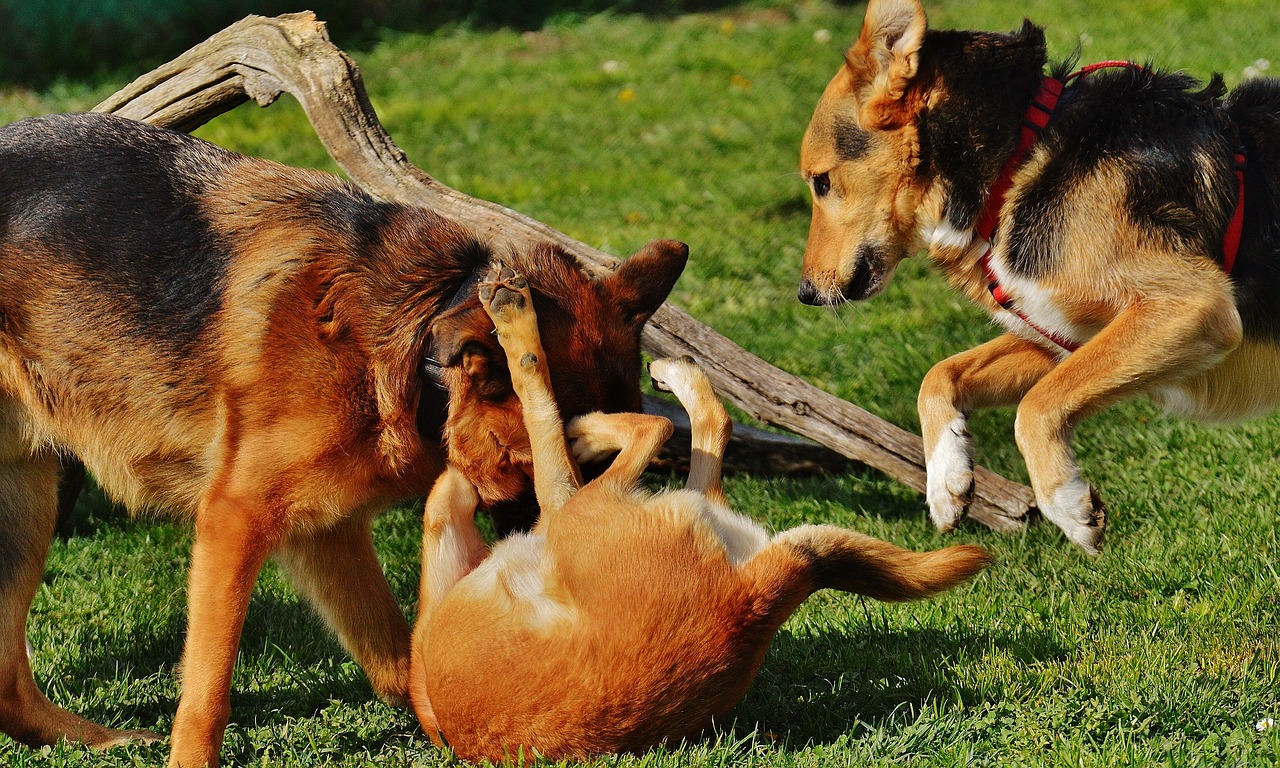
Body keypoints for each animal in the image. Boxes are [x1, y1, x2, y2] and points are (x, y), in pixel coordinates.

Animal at [0, 110, 691, 762]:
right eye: (541, 460)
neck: (412, 342)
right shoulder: (235, 519)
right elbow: (208, 688)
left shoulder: (325, 533)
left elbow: (399, 659)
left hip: (26, 507)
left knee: (9, 686)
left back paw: (94, 740)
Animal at [409, 263, 988, 762]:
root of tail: (747, 606)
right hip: (614, 511)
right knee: (698, 429)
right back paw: (659, 379)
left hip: (573, 510)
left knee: (598, 410)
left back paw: (537, 347)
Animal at [798, 0, 1280, 552]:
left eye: (821, 182)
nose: (805, 293)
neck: (1019, 159)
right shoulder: (1064, 334)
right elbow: (940, 375)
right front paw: (946, 481)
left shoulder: (1190, 308)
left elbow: (1035, 405)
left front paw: (1067, 504)